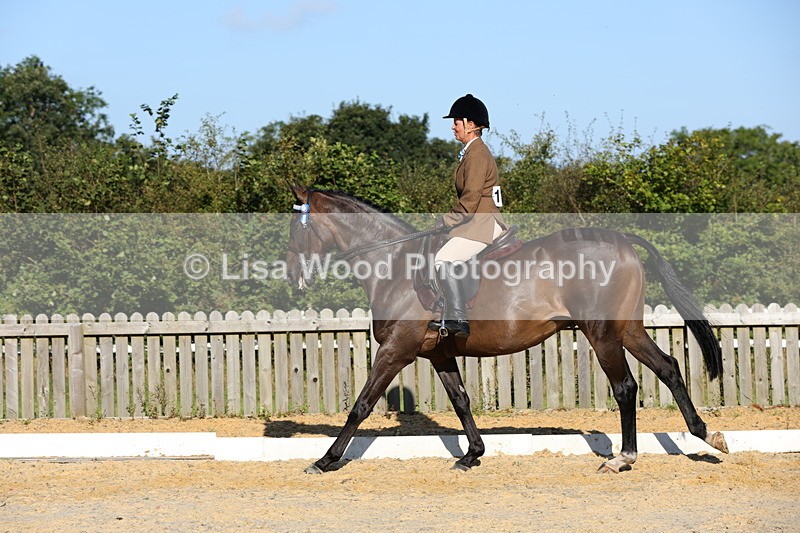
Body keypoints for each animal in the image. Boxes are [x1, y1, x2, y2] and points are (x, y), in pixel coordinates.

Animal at [285, 185, 729, 474]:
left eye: (297, 227)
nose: (291, 276)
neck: (394, 264)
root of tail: (622, 238)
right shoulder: (439, 353)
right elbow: (461, 401)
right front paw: (472, 455)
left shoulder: (396, 350)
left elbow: (361, 405)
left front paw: (325, 460)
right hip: (628, 331)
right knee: (668, 367)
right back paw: (707, 436)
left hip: (602, 334)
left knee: (625, 387)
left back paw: (624, 458)